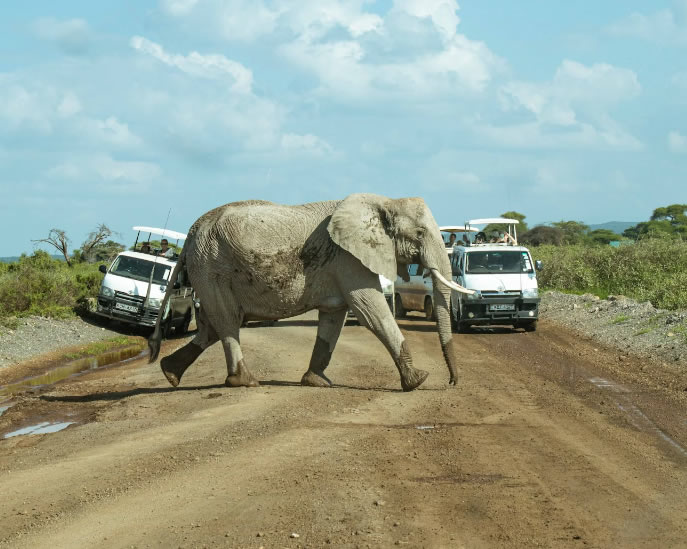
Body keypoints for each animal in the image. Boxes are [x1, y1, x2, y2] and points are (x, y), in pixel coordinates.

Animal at [148, 193, 476, 390]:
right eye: (420, 234)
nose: (451, 383)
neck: (384, 201)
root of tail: (192, 231)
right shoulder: (348, 259)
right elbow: (371, 311)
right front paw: (418, 381)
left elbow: (333, 319)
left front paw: (316, 382)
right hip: (212, 266)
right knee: (227, 321)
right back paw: (246, 382)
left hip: (208, 269)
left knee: (213, 326)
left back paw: (170, 373)